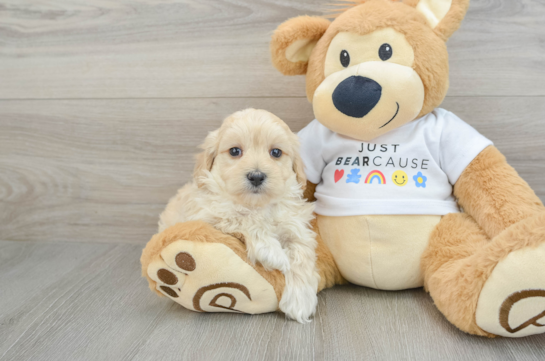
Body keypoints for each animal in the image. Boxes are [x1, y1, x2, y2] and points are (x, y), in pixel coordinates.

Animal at [157, 108, 318, 322]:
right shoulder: (207, 215)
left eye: (275, 152)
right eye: (235, 151)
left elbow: (302, 253)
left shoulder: (296, 226)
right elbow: (242, 218)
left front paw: (300, 301)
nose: (256, 176)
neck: (256, 205)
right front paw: (272, 252)